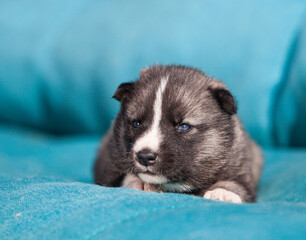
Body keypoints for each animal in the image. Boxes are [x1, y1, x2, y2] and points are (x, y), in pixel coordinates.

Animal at [93, 65, 262, 202]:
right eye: (136, 123)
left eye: (184, 126)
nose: (145, 157)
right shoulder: (110, 165)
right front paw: (139, 183)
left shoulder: (240, 167)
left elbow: (235, 184)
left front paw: (222, 193)